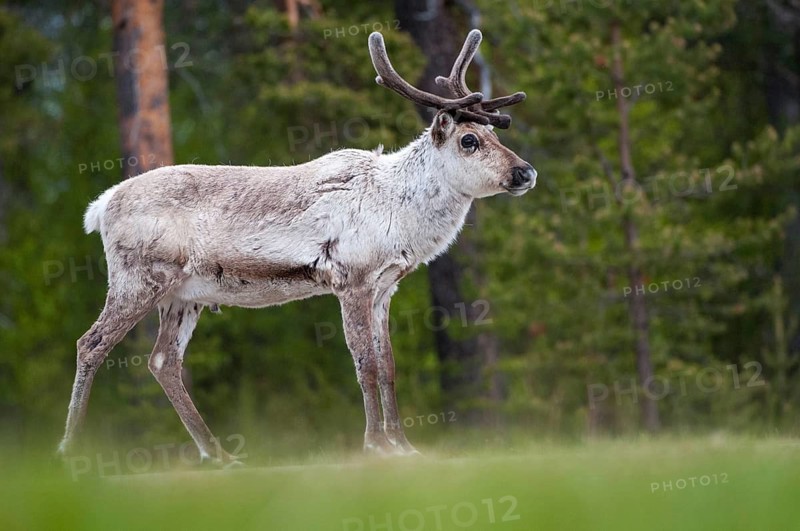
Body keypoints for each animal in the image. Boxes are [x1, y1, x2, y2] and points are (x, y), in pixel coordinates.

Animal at [57, 29, 536, 466]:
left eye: (496, 137)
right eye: (469, 141)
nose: (526, 172)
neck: (398, 211)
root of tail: (100, 207)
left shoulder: (385, 287)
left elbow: (389, 366)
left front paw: (404, 445)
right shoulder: (352, 279)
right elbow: (366, 363)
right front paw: (375, 445)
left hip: (182, 295)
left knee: (163, 361)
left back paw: (218, 453)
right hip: (138, 277)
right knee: (91, 343)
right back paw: (70, 449)